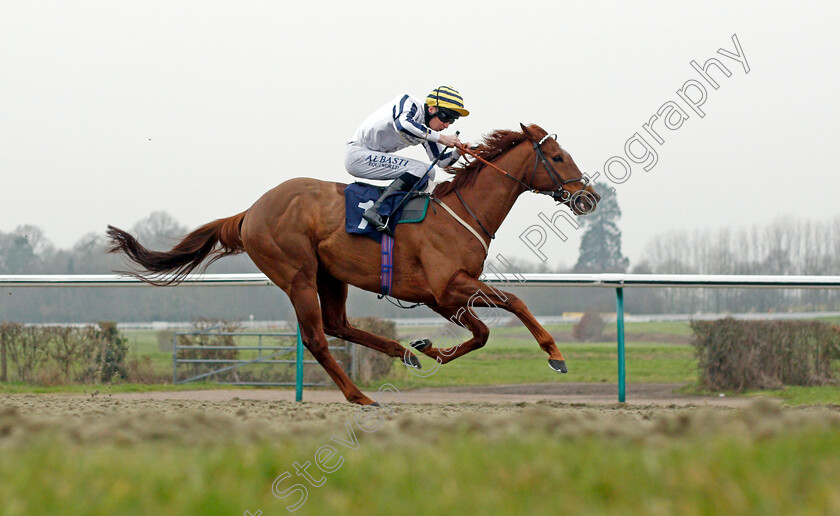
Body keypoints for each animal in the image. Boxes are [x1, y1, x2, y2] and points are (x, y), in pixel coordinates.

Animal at [108, 124, 600, 404]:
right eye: (558, 157)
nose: (588, 196)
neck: (459, 211)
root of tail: (250, 211)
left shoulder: (441, 296)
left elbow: (480, 334)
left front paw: (428, 348)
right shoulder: (448, 286)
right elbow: (513, 302)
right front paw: (556, 356)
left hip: (331, 276)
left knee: (339, 325)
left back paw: (404, 354)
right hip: (298, 275)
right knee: (317, 338)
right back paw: (359, 396)